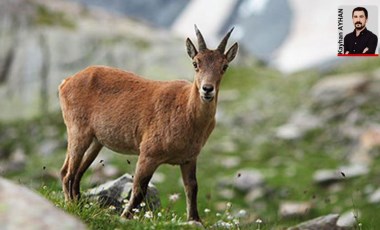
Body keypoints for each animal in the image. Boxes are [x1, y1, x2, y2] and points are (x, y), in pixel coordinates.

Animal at [58, 25, 238, 223]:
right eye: (195, 63)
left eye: (224, 66)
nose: (207, 89)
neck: (187, 113)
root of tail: (67, 81)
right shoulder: (148, 154)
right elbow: (138, 189)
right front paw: (125, 217)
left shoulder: (189, 159)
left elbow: (192, 188)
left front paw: (195, 220)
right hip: (77, 131)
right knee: (67, 172)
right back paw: (70, 206)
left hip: (96, 140)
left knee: (77, 173)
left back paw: (79, 204)